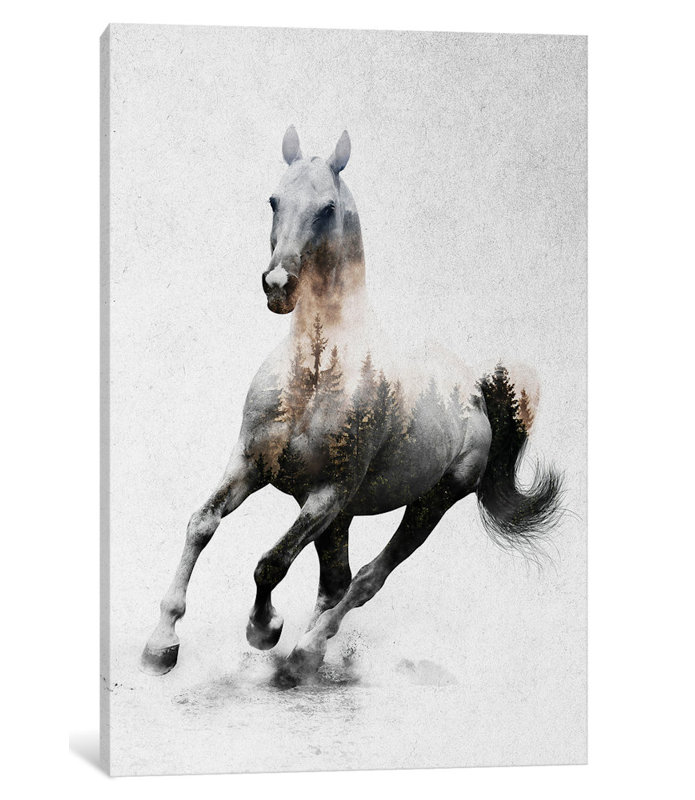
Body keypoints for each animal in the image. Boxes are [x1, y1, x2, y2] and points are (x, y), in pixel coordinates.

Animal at [141, 126, 563, 684]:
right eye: (274, 200)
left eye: (326, 208)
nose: (278, 286)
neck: (315, 375)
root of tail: (474, 392)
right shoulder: (251, 465)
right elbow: (202, 523)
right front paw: (161, 643)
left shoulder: (328, 492)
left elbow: (271, 562)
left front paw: (264, 629)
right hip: (339, 518)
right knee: (336, 583)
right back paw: (304, 658)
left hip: (429, 503)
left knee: (365, 580)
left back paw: (304, 653)